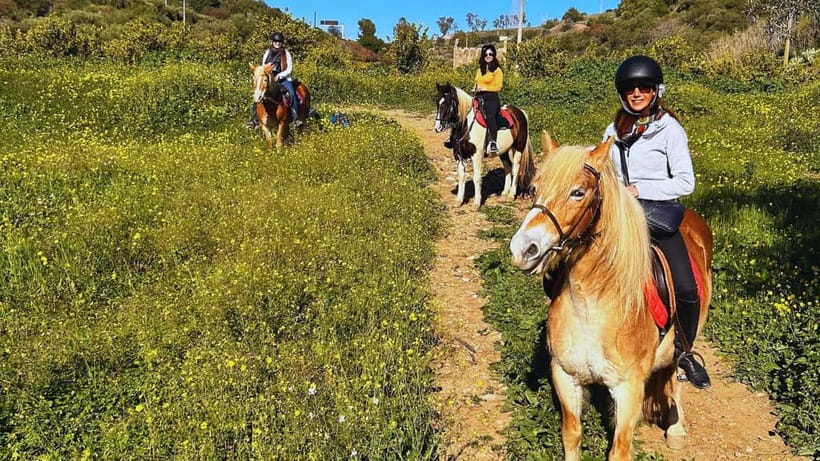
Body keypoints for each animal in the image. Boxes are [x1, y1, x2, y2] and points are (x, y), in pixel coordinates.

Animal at [509, 133, 713, 460]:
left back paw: (676, 428)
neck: (593, 307)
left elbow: (620, 449)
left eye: (578, 193)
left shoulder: (628, 390)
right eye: (534, 189)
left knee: (675, 374)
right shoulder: (565, 376)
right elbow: (571, 435)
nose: (523, 249)